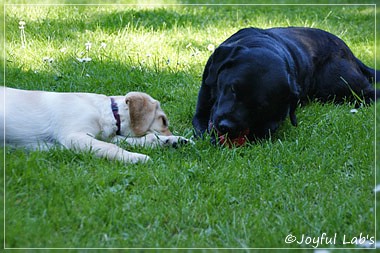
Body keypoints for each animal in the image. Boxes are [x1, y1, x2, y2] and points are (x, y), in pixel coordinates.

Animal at [0, 87, 190, 163]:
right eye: (163, 121)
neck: (105, 111)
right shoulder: (74, 136)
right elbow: (112, 148)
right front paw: (135, 157)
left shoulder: (108, 137)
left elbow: (144, 138)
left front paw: (173, 140)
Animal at [194, 26, 378, 146]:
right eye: (233, 89)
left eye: (261, 106)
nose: (227, 127)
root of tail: (349, 51)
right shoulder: (201, 109)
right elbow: (201, 127)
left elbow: (266, 129)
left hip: (339, 82)